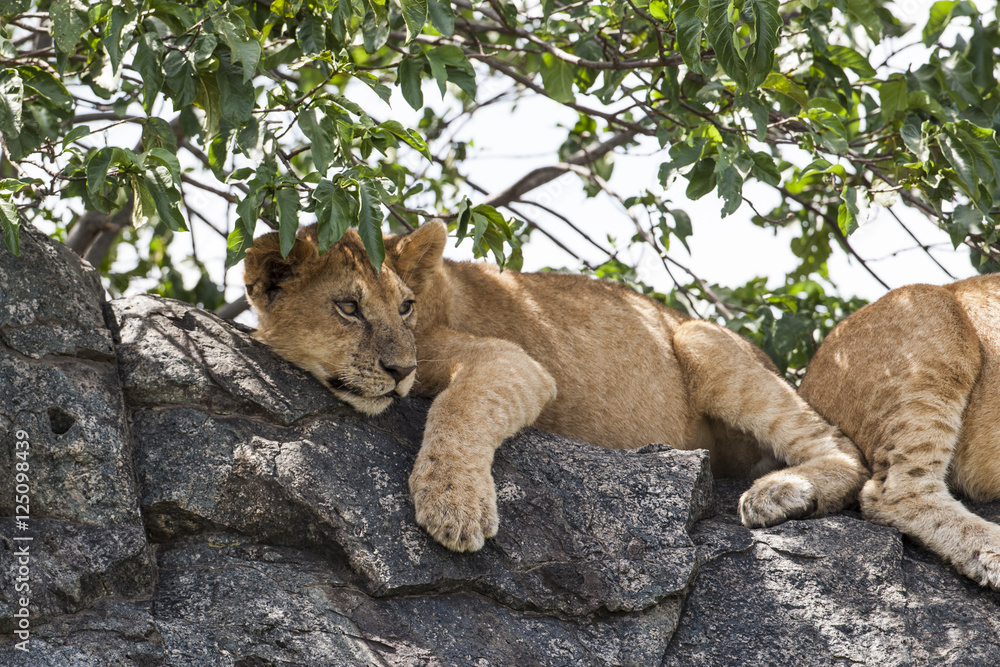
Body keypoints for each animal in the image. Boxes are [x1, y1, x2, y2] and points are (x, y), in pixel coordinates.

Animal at [244, 221, 868, 552]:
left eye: (404, 307)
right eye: (348, 307)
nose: (400, 371)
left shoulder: (514, 363)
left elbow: (458, 409)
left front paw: (454, 505)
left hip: (698, 339)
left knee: (848, 452)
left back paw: (779, 493)